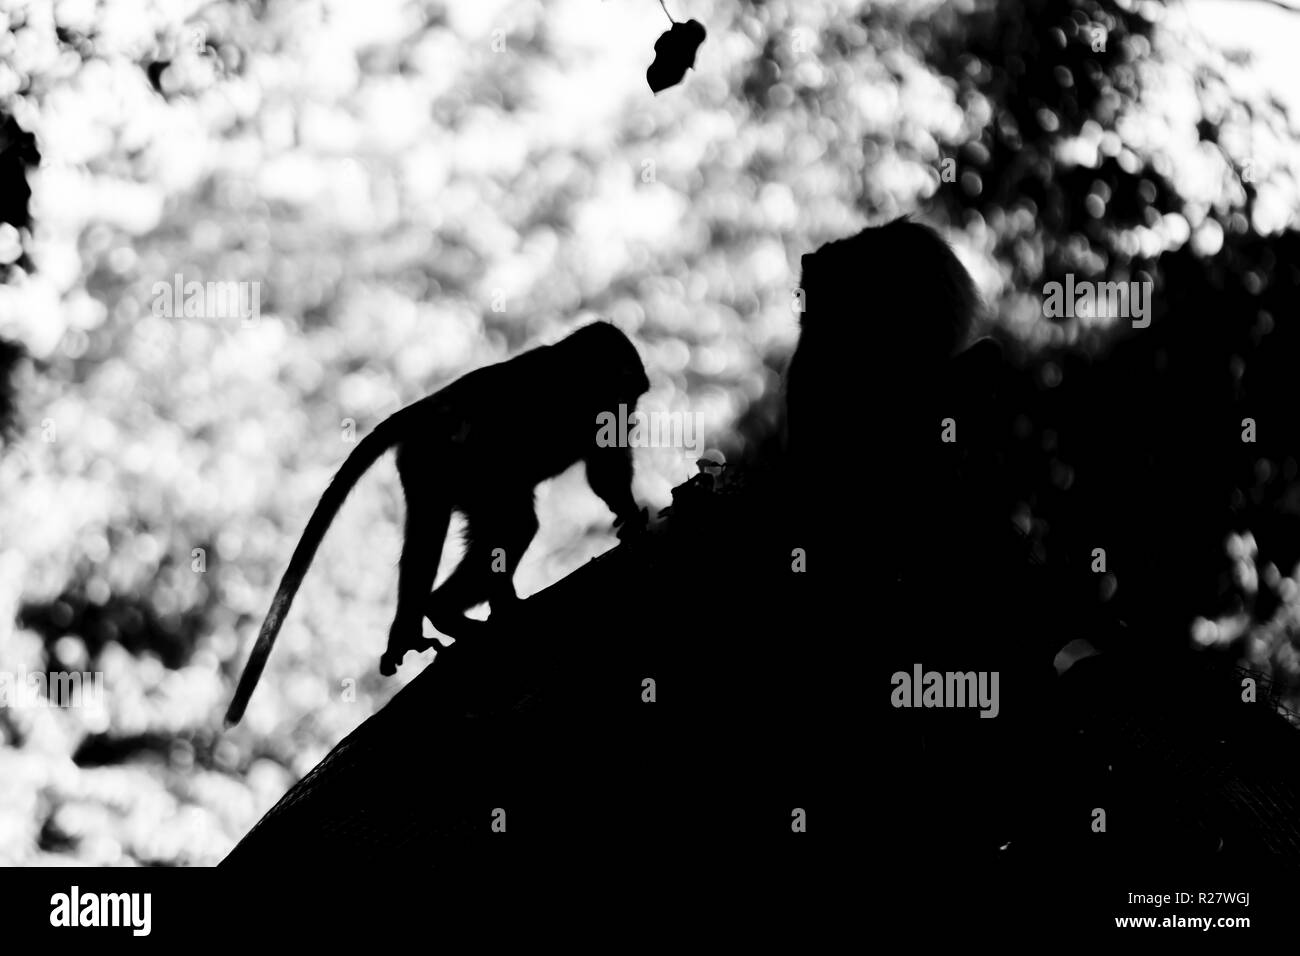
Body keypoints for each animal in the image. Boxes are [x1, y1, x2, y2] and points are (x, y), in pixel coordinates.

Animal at [224, 321, 650, 726]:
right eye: (629, 394)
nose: (629, 421)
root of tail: (427, 407)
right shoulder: (588, 406)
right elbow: (602, 469)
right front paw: (631, 514)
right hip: (466, 462)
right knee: (513, 524)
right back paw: (442, 609)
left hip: (428, 465)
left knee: (432, 538)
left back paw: (418, 627)